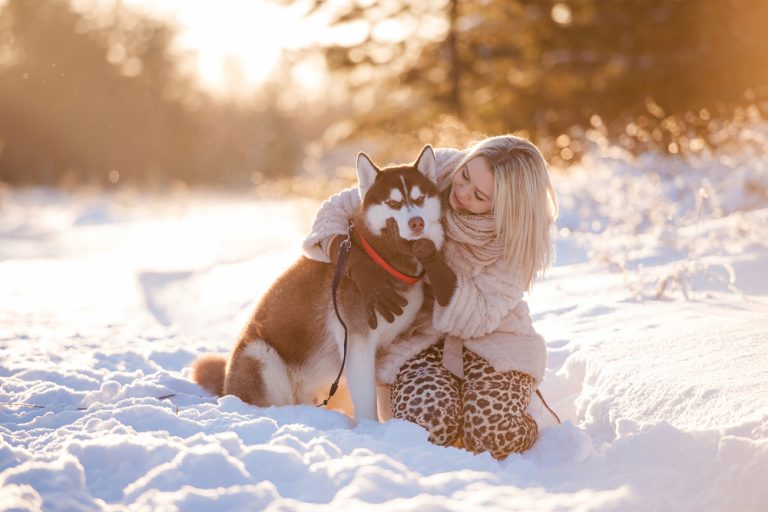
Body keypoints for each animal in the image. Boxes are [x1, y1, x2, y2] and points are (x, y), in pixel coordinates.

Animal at [192, 144, 444, 420]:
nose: (416, 222)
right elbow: (367, 402)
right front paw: (371, 427)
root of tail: (227, 384)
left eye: (420, 199)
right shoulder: (357, 343)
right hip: (261, 357)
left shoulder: (385, 347)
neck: (381, 260)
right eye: (393, 202)